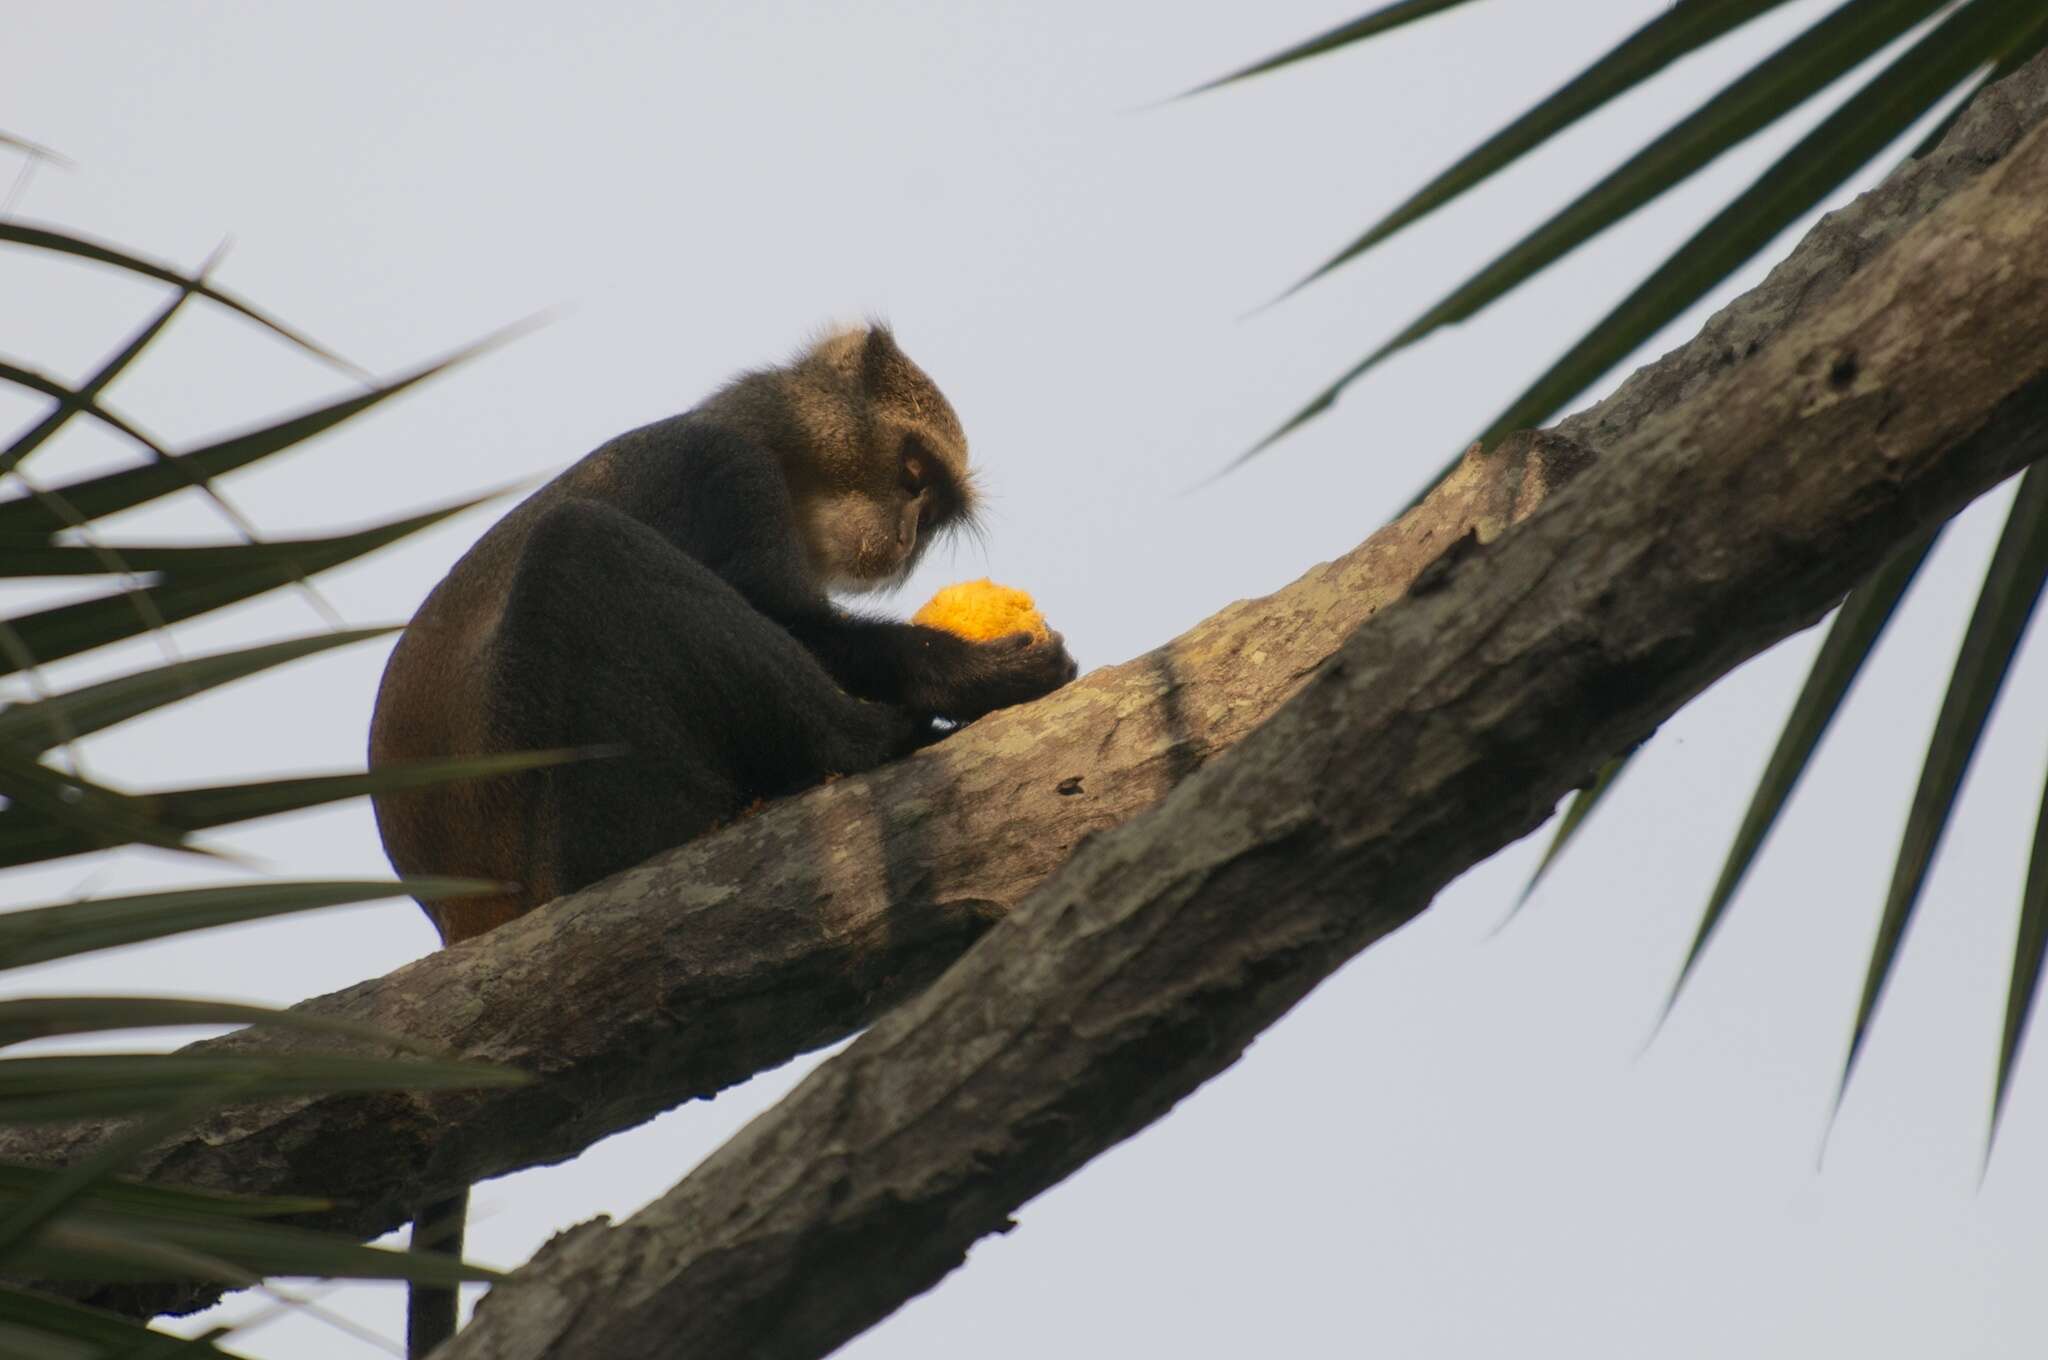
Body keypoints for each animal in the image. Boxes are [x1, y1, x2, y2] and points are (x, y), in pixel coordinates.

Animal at [362, 321, 1081, 1360]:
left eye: (932, 508)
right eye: (909, 476)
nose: (906, 536)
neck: (773, 444)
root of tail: (464, 919)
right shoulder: (720, 471)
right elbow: (783, 613)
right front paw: (974, 675)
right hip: (596, 810)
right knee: (581, 550)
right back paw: (867, 744)